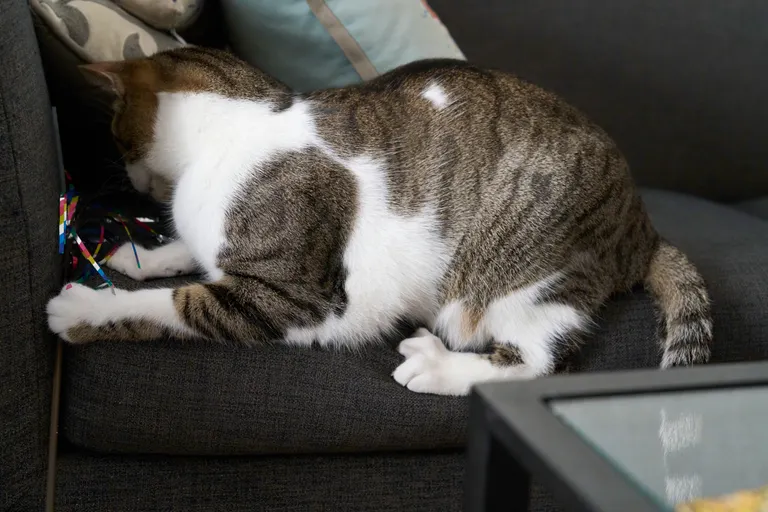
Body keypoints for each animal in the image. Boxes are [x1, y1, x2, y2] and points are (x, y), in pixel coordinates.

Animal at [45, 46, 712, 396]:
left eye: (114, 133)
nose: (132, 182)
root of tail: (642, 227)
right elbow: (187, 252)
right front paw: (140, 251)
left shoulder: (298, 297)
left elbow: (178, 303)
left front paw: (86, 307)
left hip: (519, 275)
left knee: (538, 362)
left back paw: (437, 363)